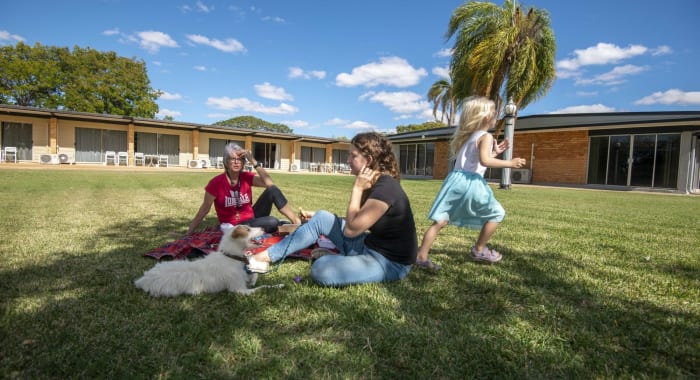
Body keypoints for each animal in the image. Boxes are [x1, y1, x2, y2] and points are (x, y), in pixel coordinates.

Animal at [134, 226, 282, 296]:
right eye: (248, 229)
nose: (263, 228)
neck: (230, 256)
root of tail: (143, 279)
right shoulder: (239, 290)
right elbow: (263, 287)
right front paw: (278, 285)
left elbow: (254, 275)